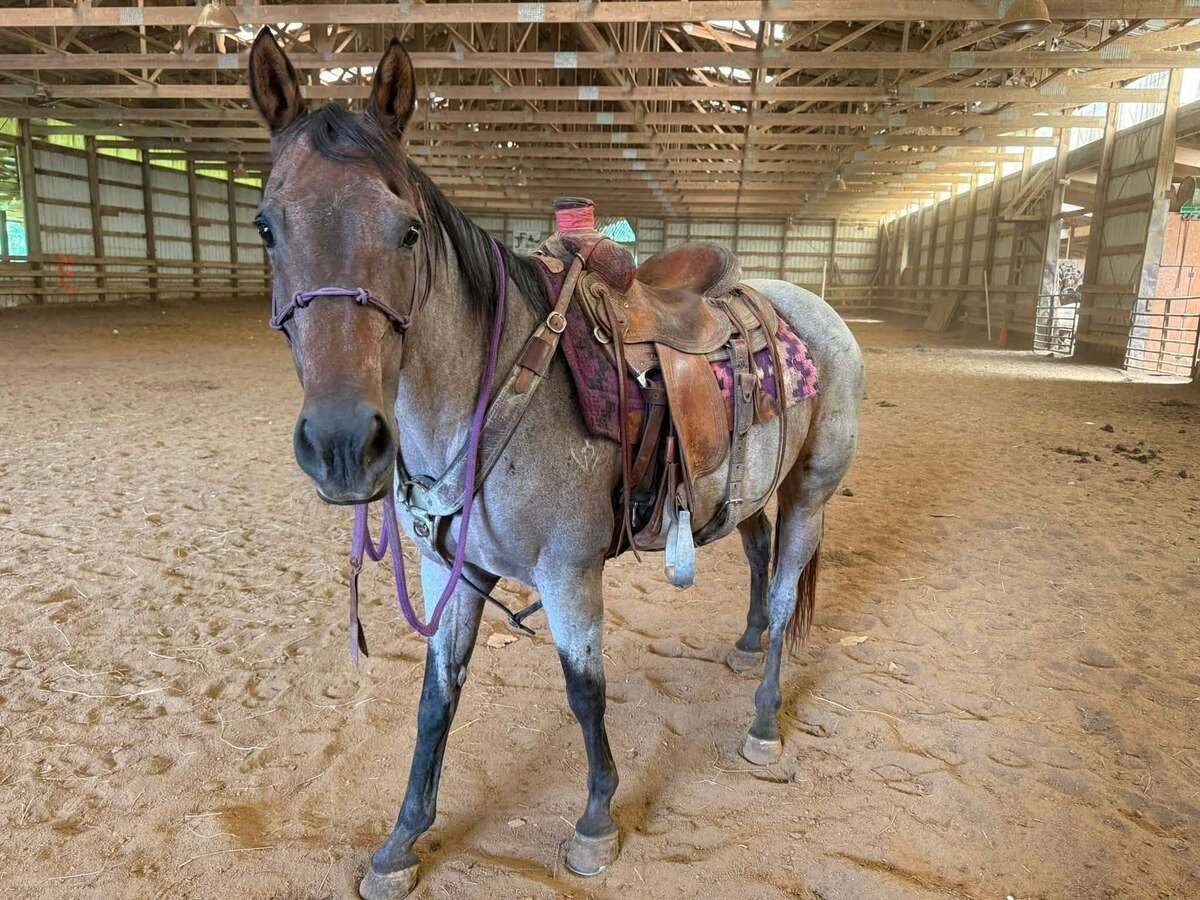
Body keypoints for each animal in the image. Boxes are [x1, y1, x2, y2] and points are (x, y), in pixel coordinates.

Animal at [246, 29, 863, 899]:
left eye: (406, 231)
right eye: (267, 227)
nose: (341, 444)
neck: (492, 390)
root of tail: (812, 306)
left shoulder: (568, 572)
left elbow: (584, 691)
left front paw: (596, 822)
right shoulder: (451, 569)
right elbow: (437, 697)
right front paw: (401, 841)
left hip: (812, 489)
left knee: (784, 596)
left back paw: (764, 718)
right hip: (742, 487)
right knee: (755, 550)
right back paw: (743, 648)